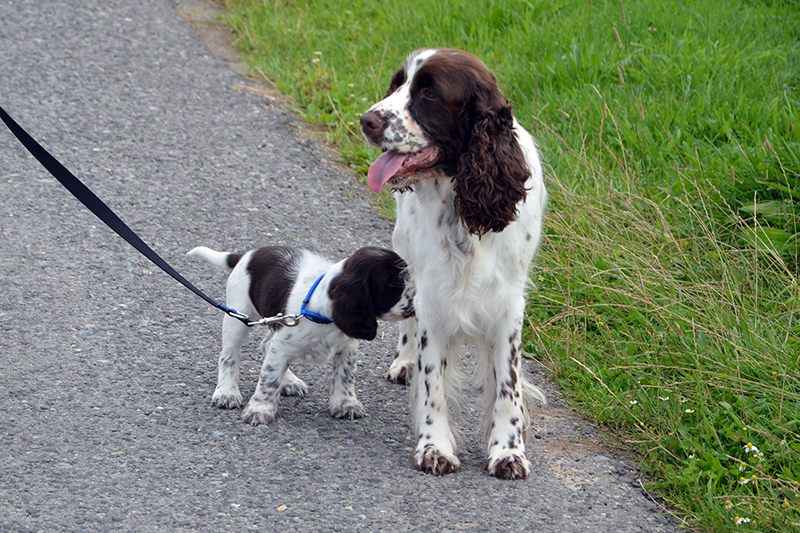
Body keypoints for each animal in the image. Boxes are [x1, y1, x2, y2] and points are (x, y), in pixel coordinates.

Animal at [188, 244, 412, 424]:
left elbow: (345, 377)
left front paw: (345, 404)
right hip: (238, 315)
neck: (321, 314)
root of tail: (247, 254)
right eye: (393, 283)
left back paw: (290, 382)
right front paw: (260, 410)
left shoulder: (347, 348)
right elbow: (269, 377)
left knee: (266, 345)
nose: (418, 296)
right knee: (229, 355)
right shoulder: (282, 344)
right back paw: (227, 392)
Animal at [360, 50, 544, 480]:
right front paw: (434, 446)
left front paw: (508, 450)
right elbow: (434, 384)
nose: (366, 120)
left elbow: (507, 383)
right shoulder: (434, 297)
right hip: (405, 248)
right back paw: (404, 361)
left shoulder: (509, 303)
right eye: (396, 84)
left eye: (429, 94)